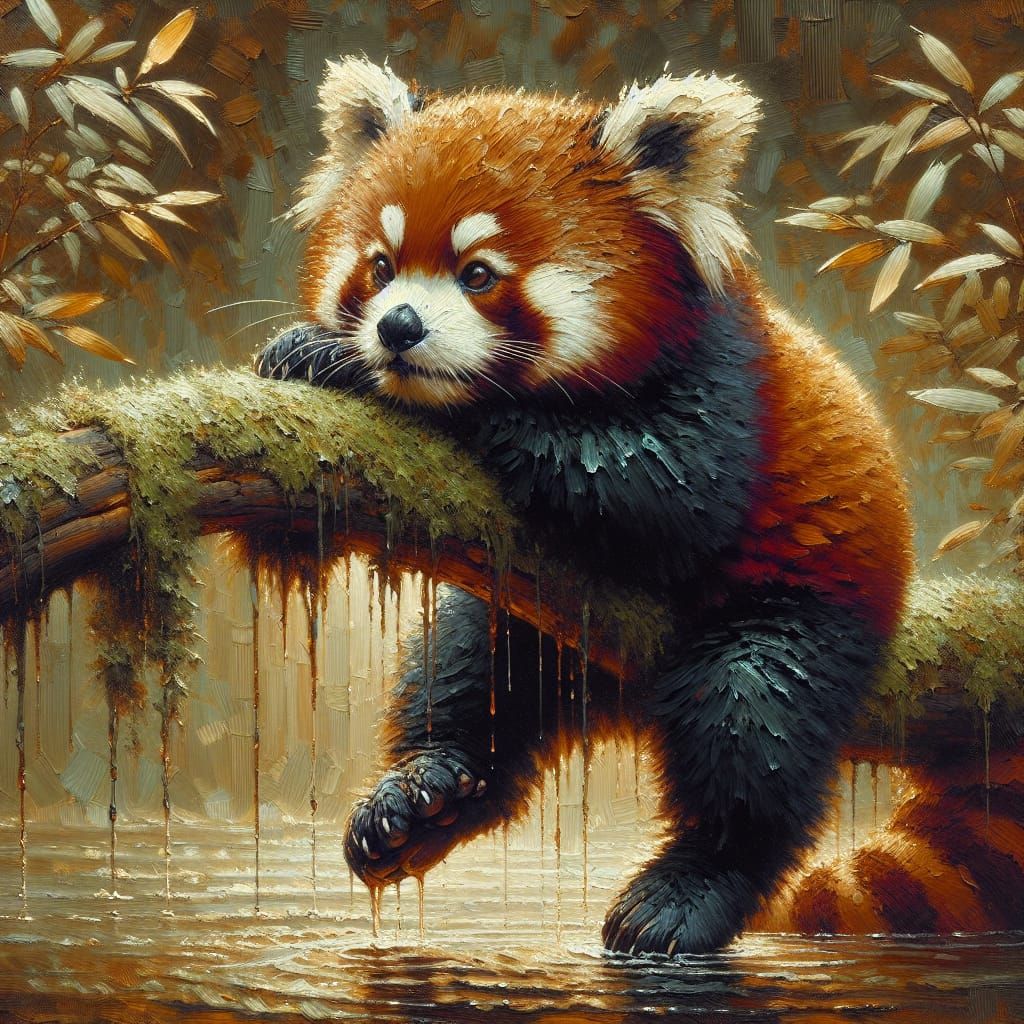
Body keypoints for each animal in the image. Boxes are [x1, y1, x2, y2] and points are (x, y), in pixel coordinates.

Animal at [256, 57, 914, 955]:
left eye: (479, 274)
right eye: (381, 266)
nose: (397, 327)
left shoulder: (728, 380)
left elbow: (670, 491)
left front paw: (358, 372)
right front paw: (308, 352)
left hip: (810, 601)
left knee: (752, 720)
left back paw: (685, 891)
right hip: (523, 616)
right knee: (467, 668)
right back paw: (424, 796)